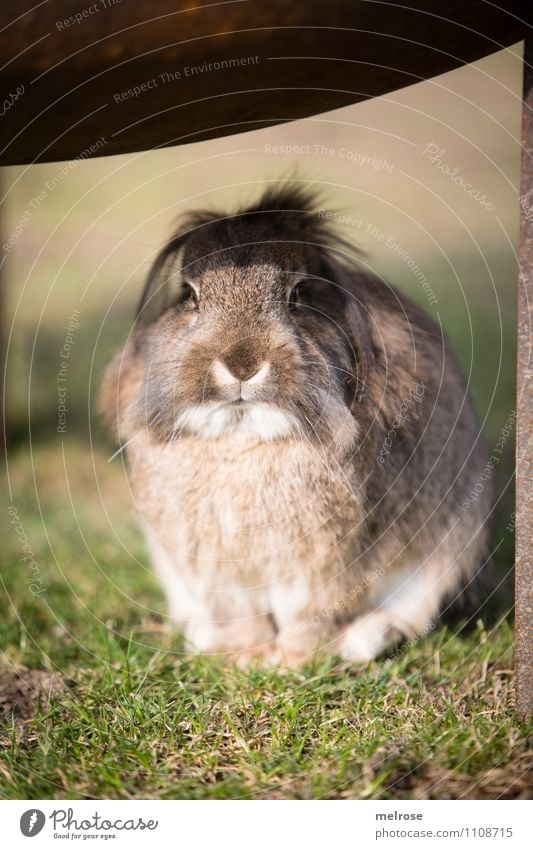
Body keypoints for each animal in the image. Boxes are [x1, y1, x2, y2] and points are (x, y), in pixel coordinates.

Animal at [98, 182, 490, 664]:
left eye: (299, 294)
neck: (243, 436)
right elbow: (242, 617)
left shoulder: (325, 566)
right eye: (189, 295)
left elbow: (311, 615)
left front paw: (291, 663)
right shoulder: (220, 572)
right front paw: (245, 658)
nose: (242, 363)